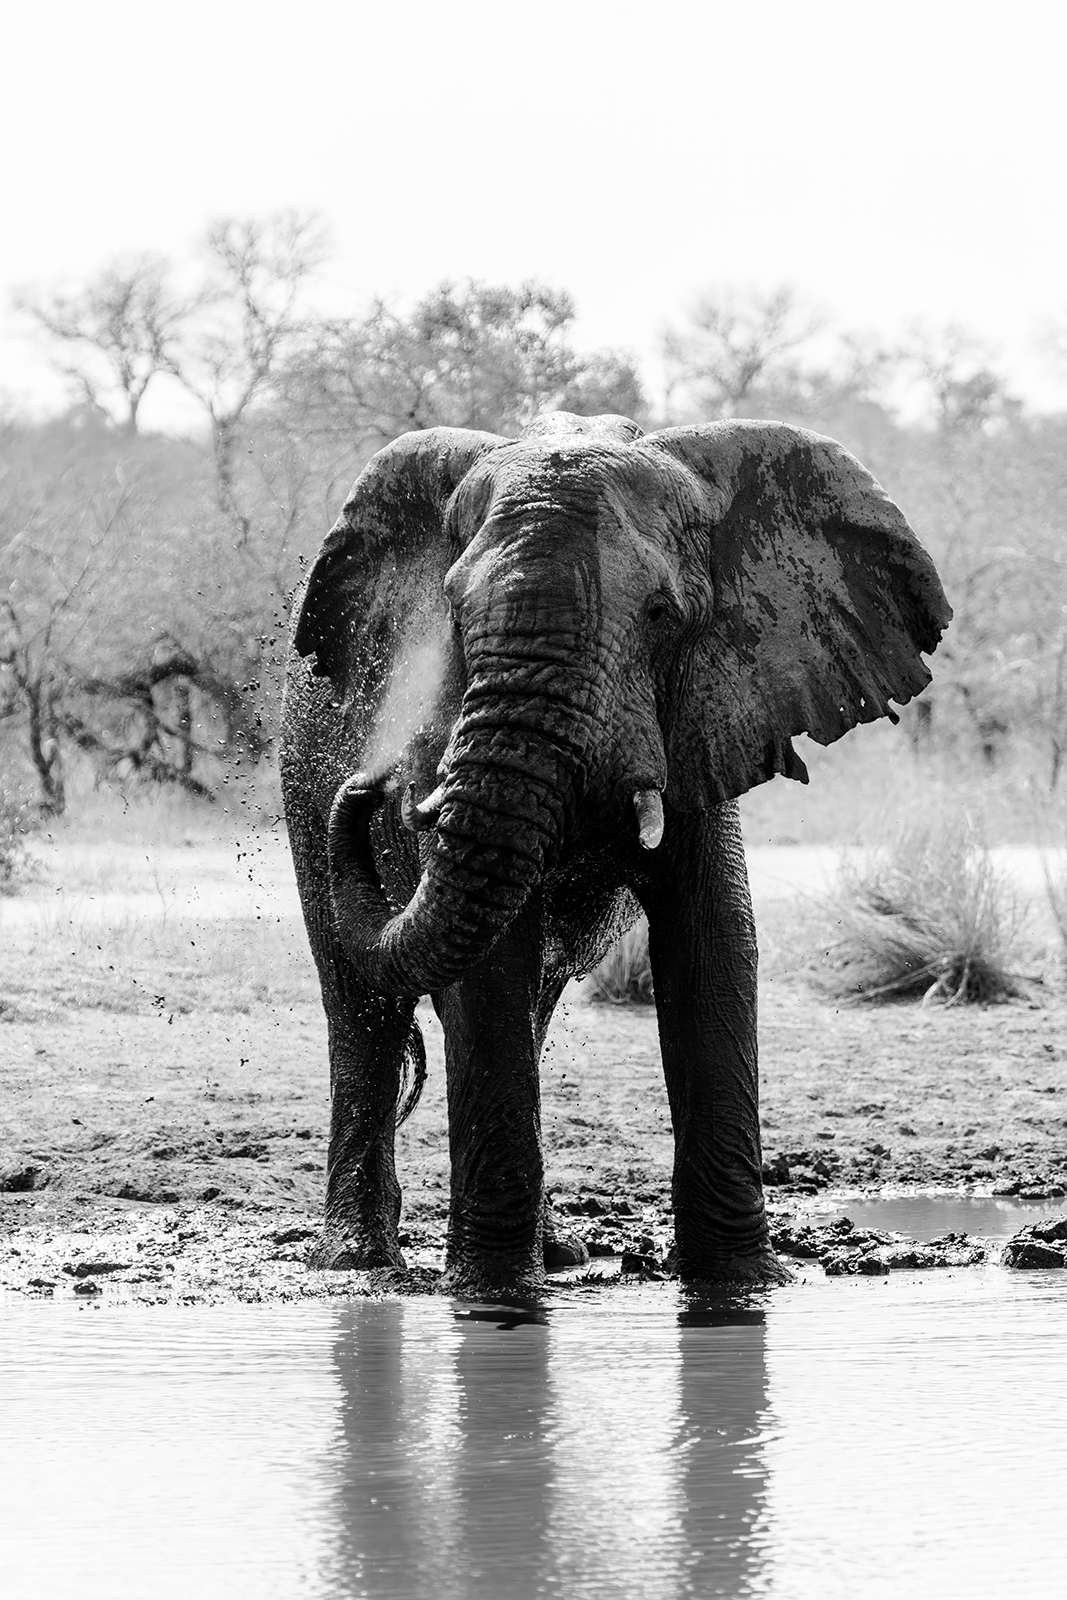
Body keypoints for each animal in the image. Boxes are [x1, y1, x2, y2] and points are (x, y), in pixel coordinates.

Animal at [281, 410, 950, 1293]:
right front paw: (493, 1298)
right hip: (299, 778)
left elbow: (713, 945)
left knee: (526, 1005)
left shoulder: (710, 709)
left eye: (662, 615)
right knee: (361, 1007)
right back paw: (360, 1262)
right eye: (452, 614)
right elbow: (488, 967)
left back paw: (556, 1253)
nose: (372, 788)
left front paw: (737, 1290)